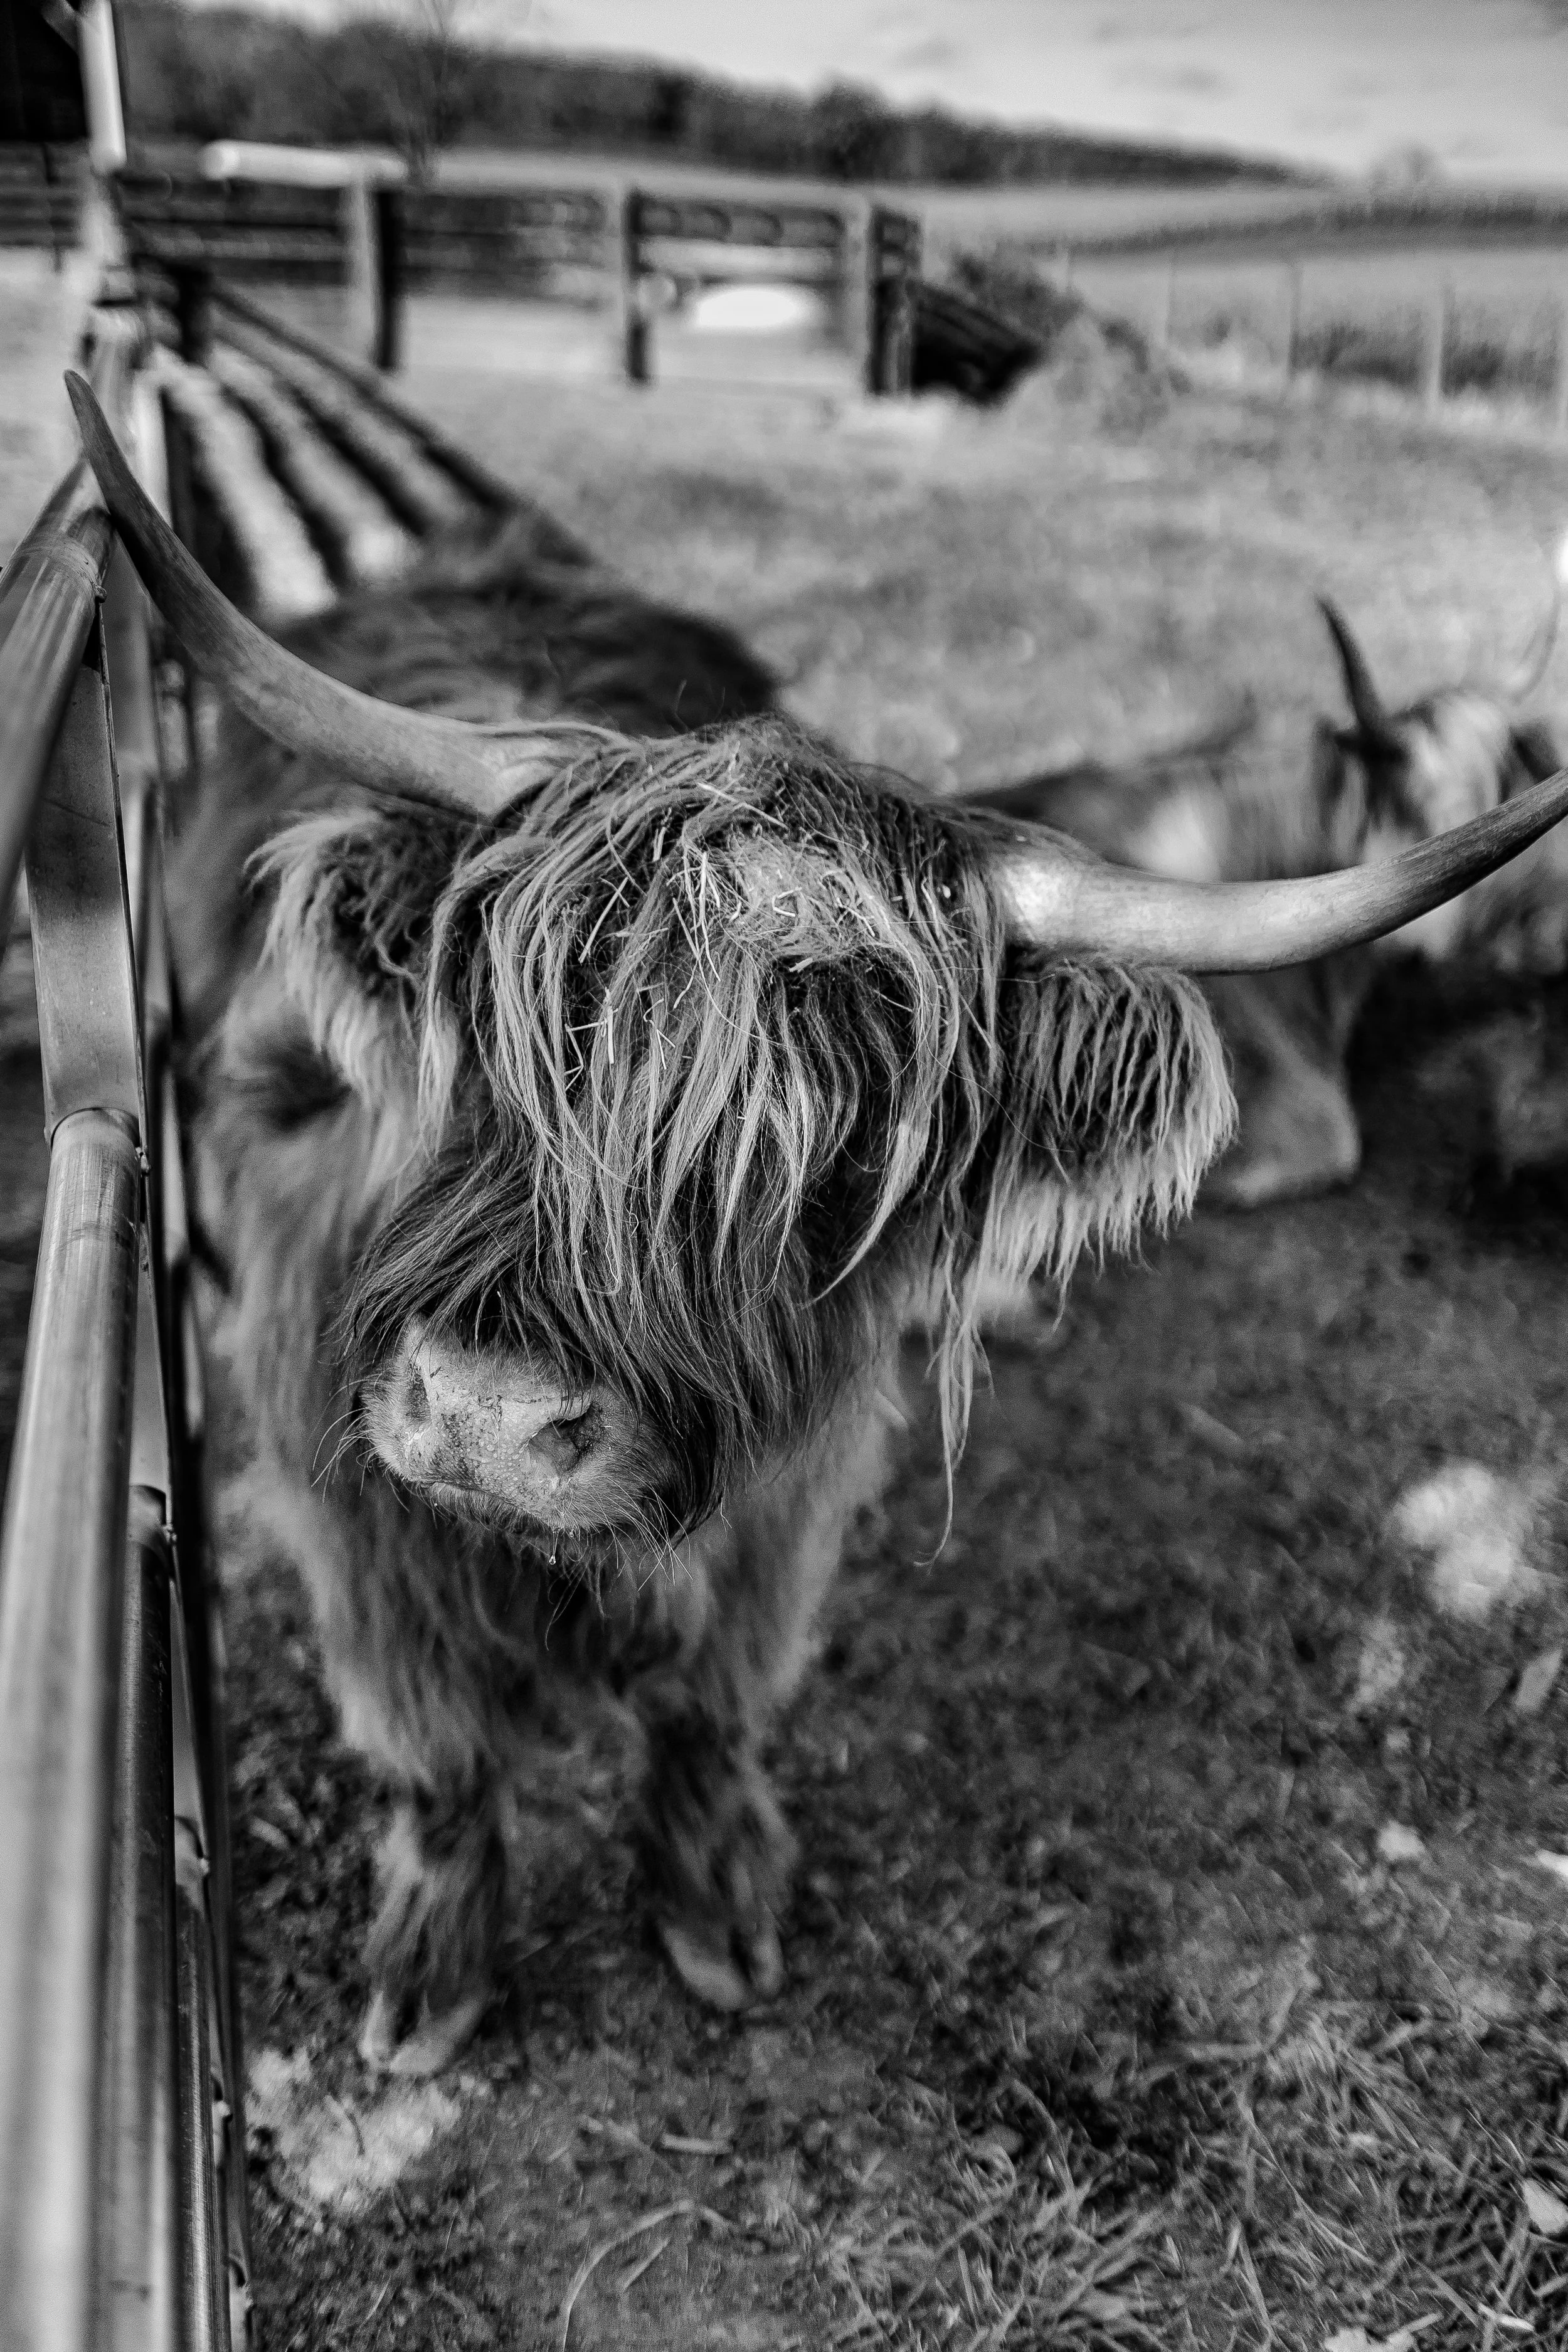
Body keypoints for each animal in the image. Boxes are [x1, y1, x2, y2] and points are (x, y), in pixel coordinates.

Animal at [70, 375, 1568, 2075]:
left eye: (840, 1136)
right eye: (501, 1030)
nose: (493, 1419)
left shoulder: (792, 1481)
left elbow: (714, 1703)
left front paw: (719, 1912)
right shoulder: (343, 1475)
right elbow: (433, 1738)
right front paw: (427, 1979)